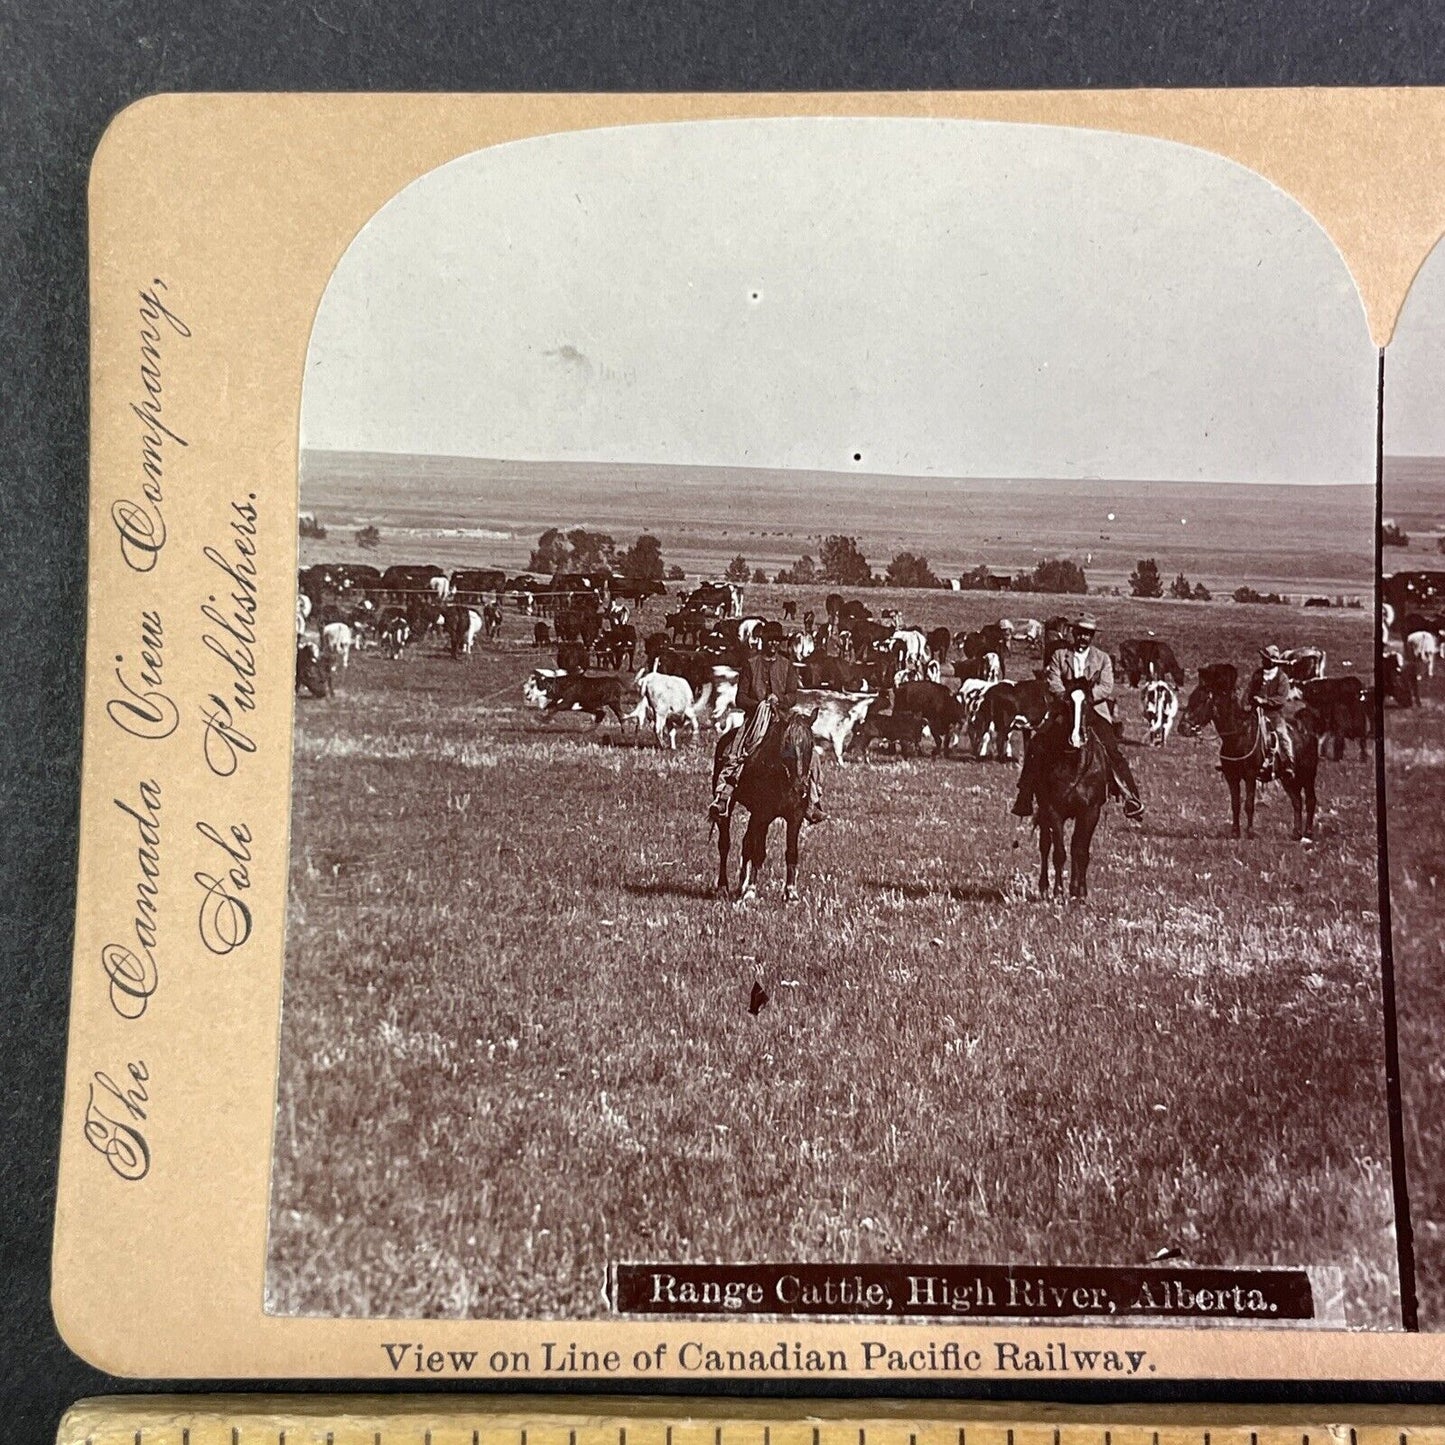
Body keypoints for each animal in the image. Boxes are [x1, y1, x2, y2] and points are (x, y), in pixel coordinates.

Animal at [713, 713, 820, 901]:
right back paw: (723, 887)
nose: (801, 788)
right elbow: (758, 852)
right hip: (730, 807)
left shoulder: (795, 817)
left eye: (811, 744)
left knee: (746, 843)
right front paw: (751, 891)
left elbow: (791, 852)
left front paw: (791, 892)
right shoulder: (762, 814)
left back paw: (741, 886)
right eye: (787, 743)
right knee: (725, 844)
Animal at [1028, 673, 1103, 895]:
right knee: (1045, 845)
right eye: (1067, 702)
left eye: (1088, 702)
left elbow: (1080, 851)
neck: (1075, 765)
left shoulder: (1090, 812)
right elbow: (1059, 852)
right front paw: (1059, 892)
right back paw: (1044, 887)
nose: (1077, 739)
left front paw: (1079, 892)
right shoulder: (1053, 810)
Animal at [1179, 661, 1317, 843]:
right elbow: (1235, 804)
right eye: (1190, 698)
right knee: (1297, 801)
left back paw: (1308, 833)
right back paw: (1296, 833)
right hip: (1288, 779)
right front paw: (1235, 832)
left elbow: (1249, 804)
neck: (1238, 735)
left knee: (1310, 800)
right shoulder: (1231, 777)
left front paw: (1250, 832)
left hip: (1308, 776)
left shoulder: (1251, 775)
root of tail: (1309, 732)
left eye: (1201, 700)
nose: (1182, 728)